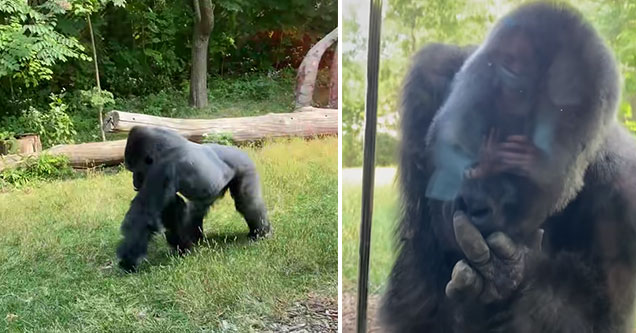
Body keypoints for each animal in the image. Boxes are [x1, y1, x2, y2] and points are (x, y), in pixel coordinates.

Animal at [117, 126, 270, 272]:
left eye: (135, 170)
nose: (135, 183)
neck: (161, 148)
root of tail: (242, 152)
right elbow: (173, 208)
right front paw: (182, 247)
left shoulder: (164, 167)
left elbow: (145, 214)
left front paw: (127, 262)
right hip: (213, 187)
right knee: (197, 209)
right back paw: (196, 238)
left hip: (246, 168)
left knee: (247, 203)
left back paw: (261, 232)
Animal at [380, 2, 636, 332]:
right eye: (472, 146)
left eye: (518, 173)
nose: (475, 203)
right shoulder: (428, 81)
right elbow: (417, 299)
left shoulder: (624, 197)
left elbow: (596, 317)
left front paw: (514, 274)